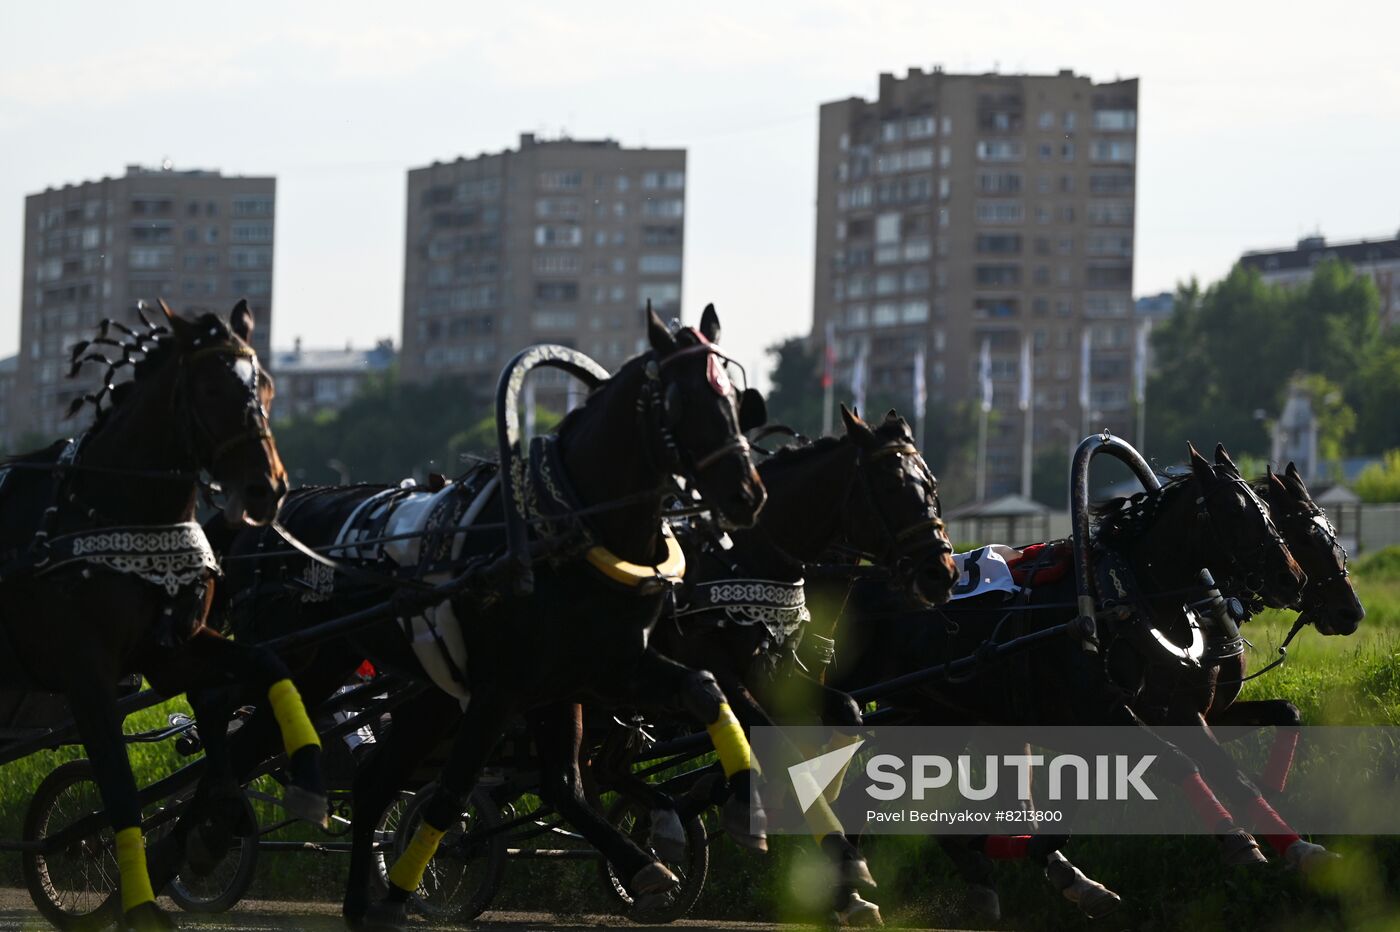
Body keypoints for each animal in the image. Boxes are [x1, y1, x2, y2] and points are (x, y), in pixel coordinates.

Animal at [0, 300, 326, 923]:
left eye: (266, 385)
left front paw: (251, 802)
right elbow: (120, 790)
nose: (266, 488)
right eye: (210, 387)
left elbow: (262, 669)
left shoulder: (172, 651)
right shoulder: (86, 674)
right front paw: (142, 903)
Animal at [163, 306, 772, 929]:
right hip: (293, 655)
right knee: (219, 706)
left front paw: (726, 820)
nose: (746, 494)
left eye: (734, 396)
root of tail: (259, 523)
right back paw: (200, 837)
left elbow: (697, 694)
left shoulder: (597, 673)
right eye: (680, 399)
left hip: (349, 672)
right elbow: (453, 794)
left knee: (365, 776)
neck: (562, 531)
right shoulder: (501, 690)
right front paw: (407, 890)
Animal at [806, 445, 1304, 923]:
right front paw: (1239, 840)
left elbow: (1239, 766)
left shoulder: (1176, 711)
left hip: (931, 719)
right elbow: (1179, 762)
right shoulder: (1105, 715)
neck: (1119, 601)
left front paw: (1296, 844)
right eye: (1236, 509)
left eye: (1266, 508)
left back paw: (862, 893)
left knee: (859, 800)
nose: (1292, 577)